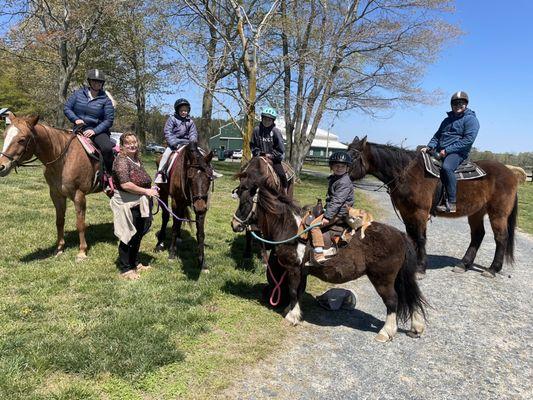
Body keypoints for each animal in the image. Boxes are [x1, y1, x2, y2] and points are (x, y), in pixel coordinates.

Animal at [0, 114, 100, 260]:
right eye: (5, 135)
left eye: (22, 140)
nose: (2, 166)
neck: (64, 159)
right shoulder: (56, 195)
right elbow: (59, 221)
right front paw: (59, 249)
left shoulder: (79, 195)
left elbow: (80, 224)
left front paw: (82, 252)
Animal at [154, 142, 212, 270]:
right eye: (190, 177)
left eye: (209, 177)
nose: (199, 206)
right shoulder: (176, 202)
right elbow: (174, 227)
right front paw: (172, 253)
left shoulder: (202, 208)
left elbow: (200, 234)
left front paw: (203, 262)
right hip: (162, 194)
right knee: (166, 217)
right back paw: (160, 243)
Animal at [231, 155, 426, 342]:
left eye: (244, 204)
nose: (234, 224)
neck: (290, 227)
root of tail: (400, 235)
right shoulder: (303, 270)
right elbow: (299, 290)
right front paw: (292, 310)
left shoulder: (294, 268)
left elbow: (293, 290)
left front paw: (292, 317)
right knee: (410, 295)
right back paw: (416, 327)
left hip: (383, 278)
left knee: (393, 301)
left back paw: (386, 332)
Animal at [348, 137, 516, 278]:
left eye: (354, 156)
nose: (340, 174)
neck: (408, 174)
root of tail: (511, 173)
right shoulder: (406, 212)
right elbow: (412, 237)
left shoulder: (420, 213)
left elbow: (421, 238)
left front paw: (421, 268)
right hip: (476, 212)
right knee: (478, 235)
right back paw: (463, 264)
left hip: (498, 214)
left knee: (501, 238)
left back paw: (492, 269)